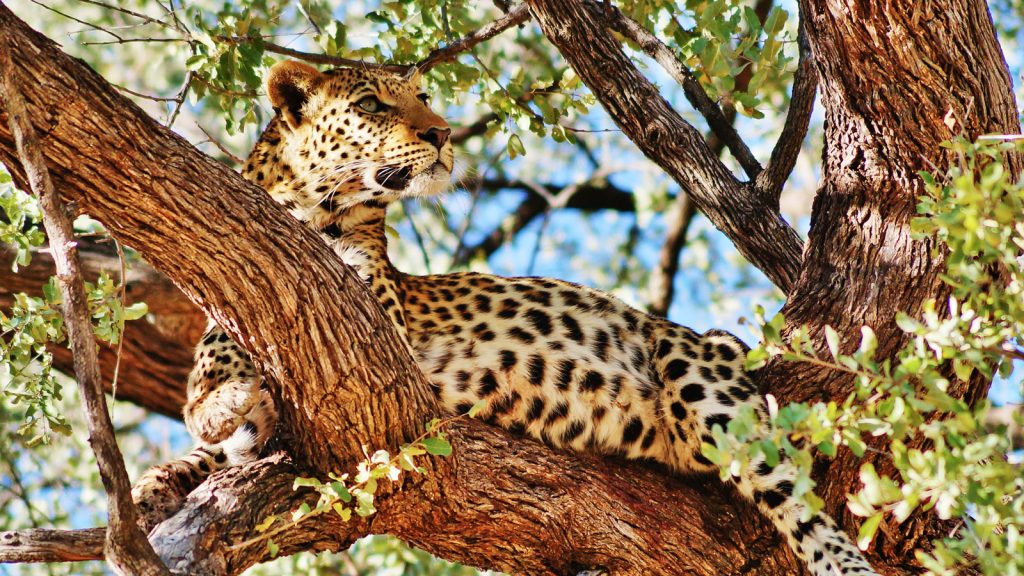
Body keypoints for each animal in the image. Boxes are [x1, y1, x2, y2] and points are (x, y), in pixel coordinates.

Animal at [132, 60, 878, 576]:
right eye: (372, 104)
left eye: (423, 99)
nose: (441, 133)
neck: (308, 215)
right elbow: (210, 422)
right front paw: (153, 487)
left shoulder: (372, 334)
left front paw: (226, 406)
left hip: (704, 380)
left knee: (798, 502)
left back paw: (844, 562)